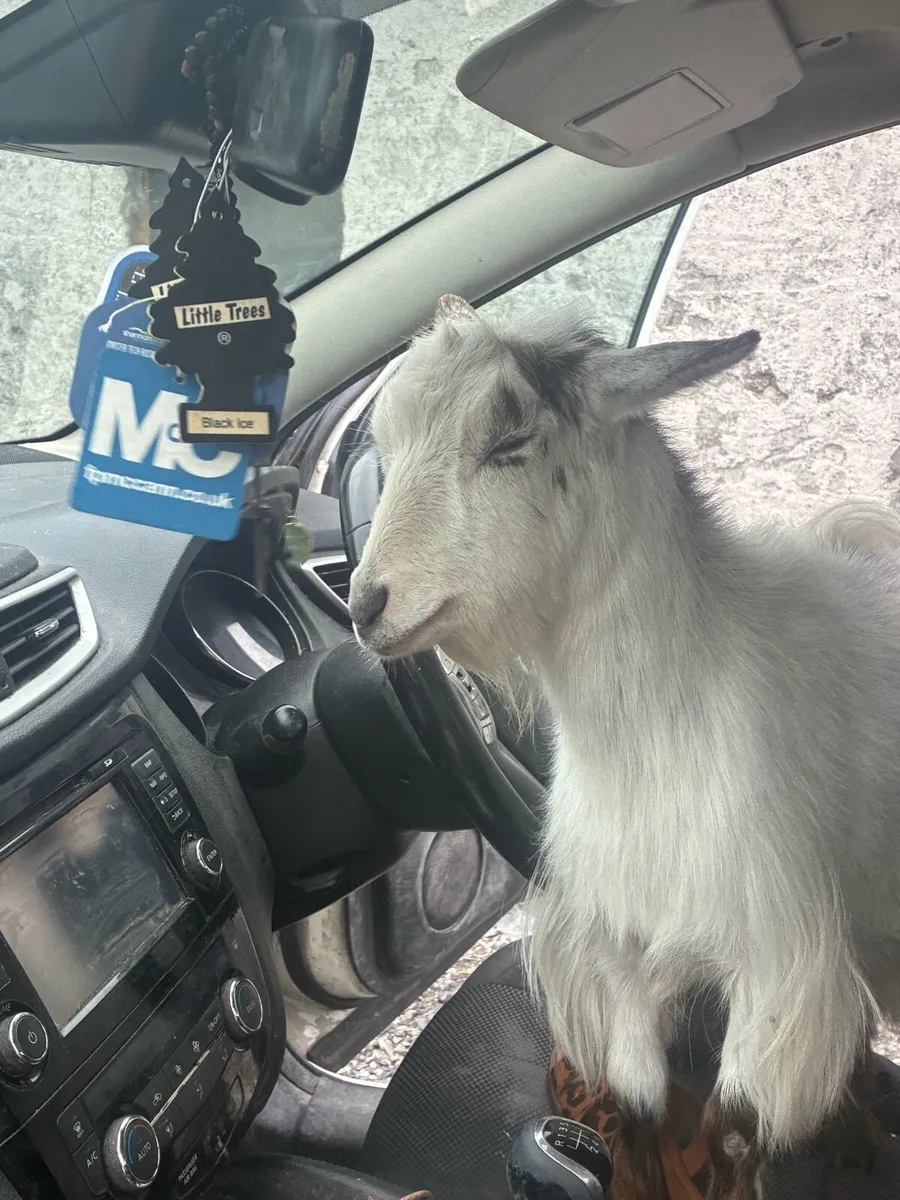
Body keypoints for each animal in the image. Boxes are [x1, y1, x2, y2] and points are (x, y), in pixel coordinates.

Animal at [349, 296, 900, 1198]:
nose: (366, 604)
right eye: (387, 450)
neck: (650, 737)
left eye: (509, 441)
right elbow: (641, 1105)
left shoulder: (777, 961)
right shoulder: (621, 948)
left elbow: (734, 1130)